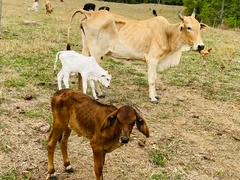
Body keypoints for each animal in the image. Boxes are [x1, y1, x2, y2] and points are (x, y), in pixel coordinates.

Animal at [66, 9, 207, 103]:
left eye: (198, 27)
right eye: (188, 27)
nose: (201, 46)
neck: (167, 33)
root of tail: (91, 13)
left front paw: (155, 95)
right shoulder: (152, 60)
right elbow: (152, 79)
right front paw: (153, 98)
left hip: (87, 49)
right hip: (96, 54)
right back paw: (98, 94)